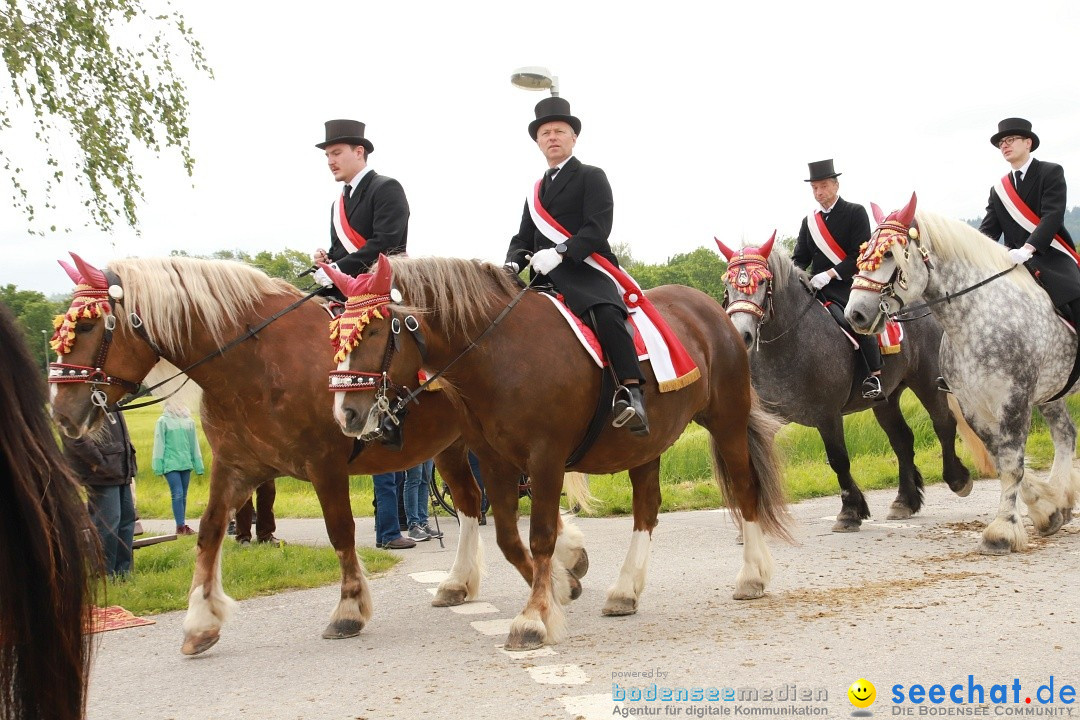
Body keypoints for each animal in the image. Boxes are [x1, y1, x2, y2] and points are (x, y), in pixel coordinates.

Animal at [47, 255, 486, 656]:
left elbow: (340, 531)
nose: (61, 413)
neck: (256, 363)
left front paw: (348, 611)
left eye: (86, 326)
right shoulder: (235, 467)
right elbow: (210, 531)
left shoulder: (325, 466)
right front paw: (201, 621)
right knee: (468, 501)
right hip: (449, 448)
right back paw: (457, 582)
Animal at [324, 255, 790, 651]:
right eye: (339, 335)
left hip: (727, 422)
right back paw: (625, 590)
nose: (346, 413)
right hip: (646, 445)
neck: (498, 353)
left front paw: (534, 617)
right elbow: (508, 537)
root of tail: (715, 311)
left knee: (745, 490)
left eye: (373, 331)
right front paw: (561, 586)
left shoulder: (545, 458)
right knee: (646, 508)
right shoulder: (494, 459)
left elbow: (541, 535)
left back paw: (751, 576)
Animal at [717, 235, 989, 528]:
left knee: (943, 424)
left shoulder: (827, 415)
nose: (742, 334)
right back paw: (904, 501)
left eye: (762, 283)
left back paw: (957, 479)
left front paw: (850, 511)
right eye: (728, 285)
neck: (788, 340)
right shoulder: (767, 418)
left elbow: (838, 459)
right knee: (902, 440)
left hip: (926, 381)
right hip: (886, 399)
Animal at [846, 194, 1080, 557]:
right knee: (1065, 434)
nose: (854, 313)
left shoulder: (1014, 399)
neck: (975, 317)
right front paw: (1046, 509)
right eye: (863, 254)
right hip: (1051, 394)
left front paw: (1002, 532)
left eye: (888, 255)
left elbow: (1012, 461)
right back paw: (1062, 498)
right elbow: (1000, 457)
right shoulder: (973, 404)